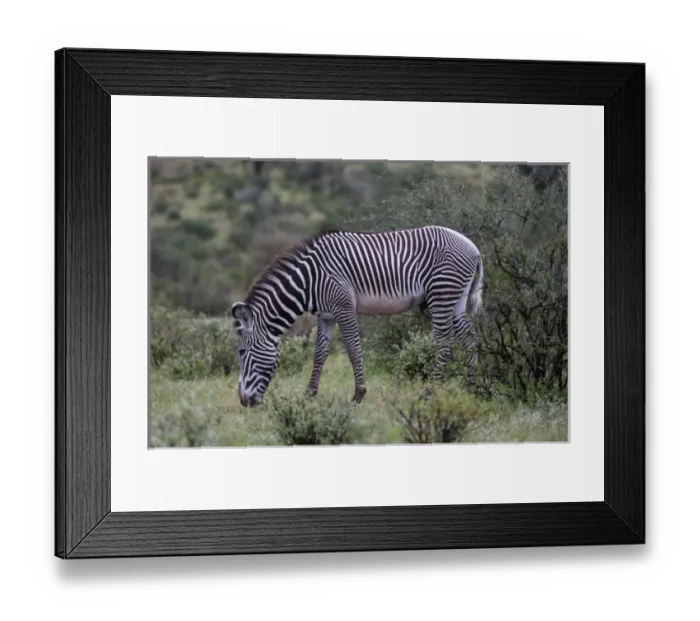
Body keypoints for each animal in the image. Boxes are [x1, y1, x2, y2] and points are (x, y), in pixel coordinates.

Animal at [231, 225, 483, 407]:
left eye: (242, 352)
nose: (244, 402)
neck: (309, 281)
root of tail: (473, 247)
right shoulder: (326, 315)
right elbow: (319, 353)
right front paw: (309, 394)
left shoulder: (344, 308)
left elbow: (353, 350)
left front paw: (358, 395)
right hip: (456, 299)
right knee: (470, 338)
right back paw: (472, 387)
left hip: (441, 295)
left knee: (445, 345)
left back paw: (428, 393)